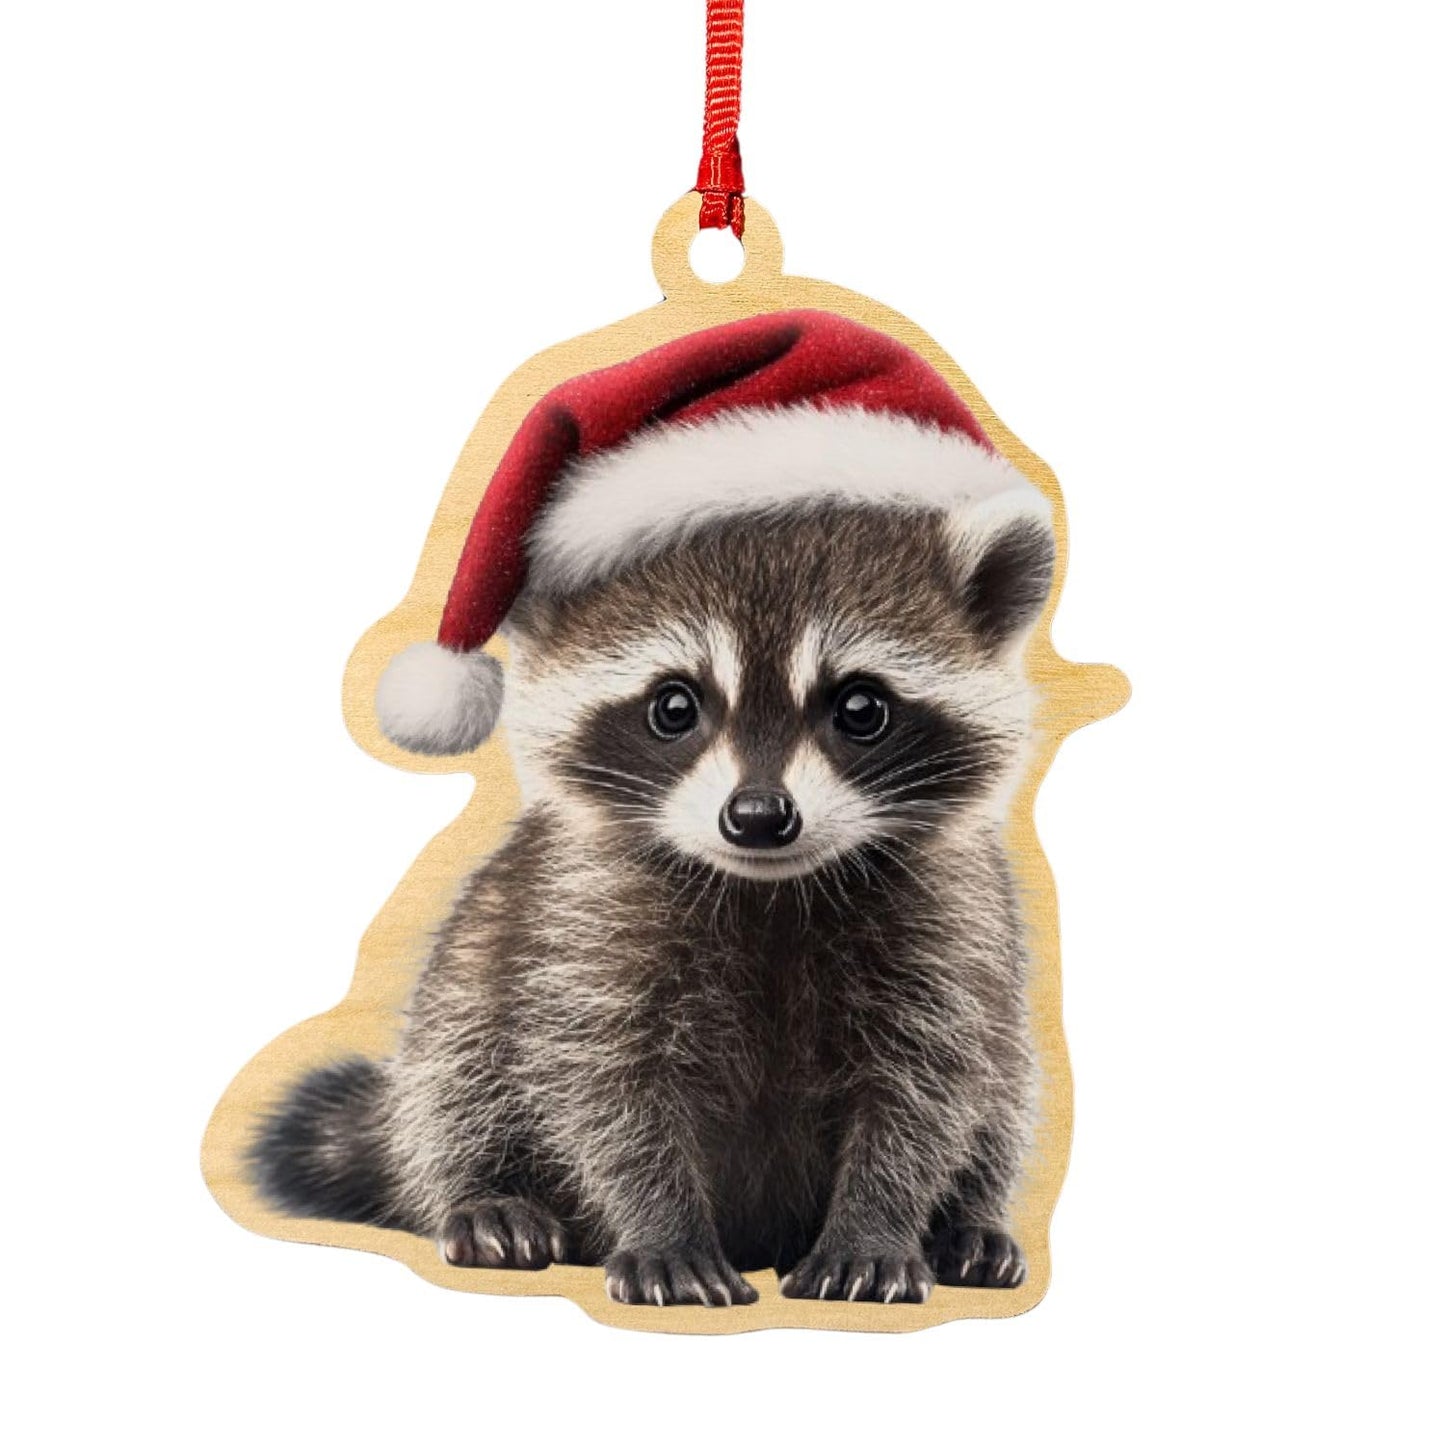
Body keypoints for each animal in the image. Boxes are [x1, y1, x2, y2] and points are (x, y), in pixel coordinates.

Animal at [253, 497, 1053, 1307]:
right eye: (674, 705)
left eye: (861, 706)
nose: (758, 816)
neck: (768, 887)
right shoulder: (581, 918)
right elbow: (610, 1089)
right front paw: (664, 1232)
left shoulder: (952, 924)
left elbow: (924, 1090)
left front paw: (874, 1229)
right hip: (479, 949)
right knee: (454, 1062)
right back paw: (487, 1194)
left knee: (1005, 1086)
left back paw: (968, 1226)